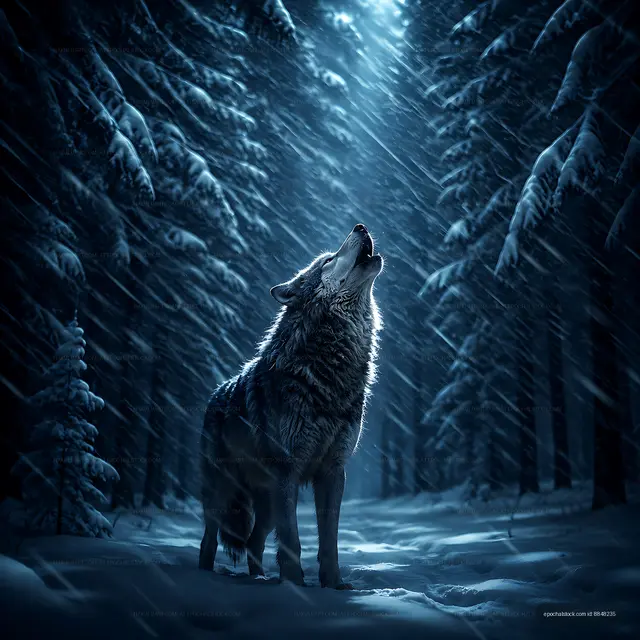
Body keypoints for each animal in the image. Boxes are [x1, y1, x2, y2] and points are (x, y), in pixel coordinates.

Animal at [198, 224, 382, 589]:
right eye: (328, 260)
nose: (360, 226)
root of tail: (215, 392)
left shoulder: (333, 471)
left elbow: (329, 540)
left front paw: (333, 584)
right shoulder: (288, 470)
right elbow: (292, 541)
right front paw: (294, 585)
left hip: (266, 502)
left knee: (254, 540)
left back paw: (259, 578)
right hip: (225, 493)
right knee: (209, 539)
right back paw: (205, 576)